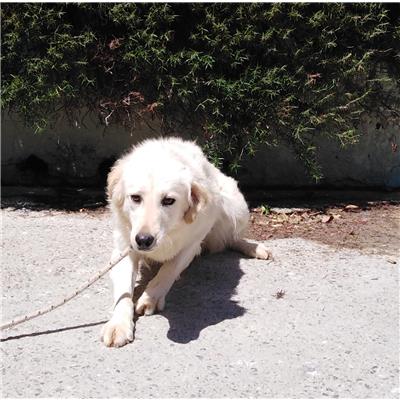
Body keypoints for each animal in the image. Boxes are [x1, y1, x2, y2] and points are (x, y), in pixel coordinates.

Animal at [101, 137, 271, 347]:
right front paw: (119, 324)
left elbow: (168, 270)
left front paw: (151, 297)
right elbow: (124, 292)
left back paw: (254, 247)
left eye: (168, 200)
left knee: (232, 238)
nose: (143, 240)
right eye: (135, 198)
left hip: (235, 207)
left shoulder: (193, 242)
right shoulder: (124, 248)